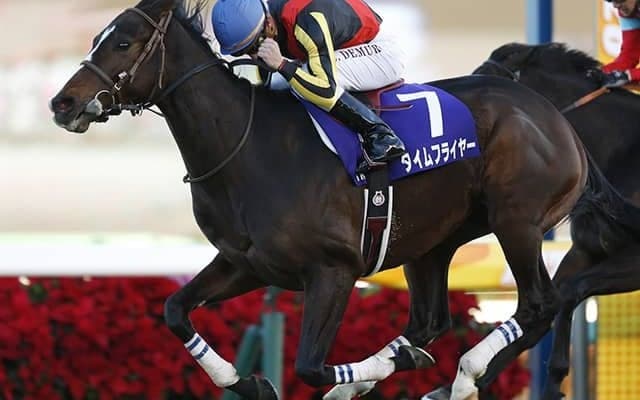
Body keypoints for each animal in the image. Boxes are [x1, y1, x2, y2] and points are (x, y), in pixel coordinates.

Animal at [49, 0, 611, 397]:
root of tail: (555, 117)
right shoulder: (246, 264)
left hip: (517, 221)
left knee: (539, 304)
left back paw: (464, 375)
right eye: (98, 37)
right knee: (430, 320)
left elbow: (310, 367)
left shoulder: (334, 270)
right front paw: (247, 381)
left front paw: (388, 367)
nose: (63, 103)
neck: (247, 149)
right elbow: (174, 309)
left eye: (123, 42)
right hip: (435, 241)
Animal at [465, 42, 640, 400]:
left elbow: (571, 292)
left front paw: (554, 380)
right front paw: (483, 380)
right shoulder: (585, 251)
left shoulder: (636, 260)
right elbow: (547, 306)